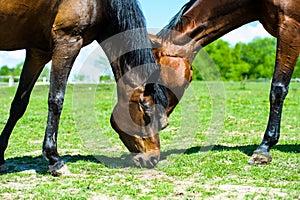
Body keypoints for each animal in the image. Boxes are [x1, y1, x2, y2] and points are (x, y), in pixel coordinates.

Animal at [0, 0, 170, 174]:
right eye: (146, 113)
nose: (152, 158)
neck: (101, 5)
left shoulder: (38, 53)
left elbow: (19, 105)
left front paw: (0, 158)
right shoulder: (67, 41)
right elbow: (56, 100)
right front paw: (54, 158)